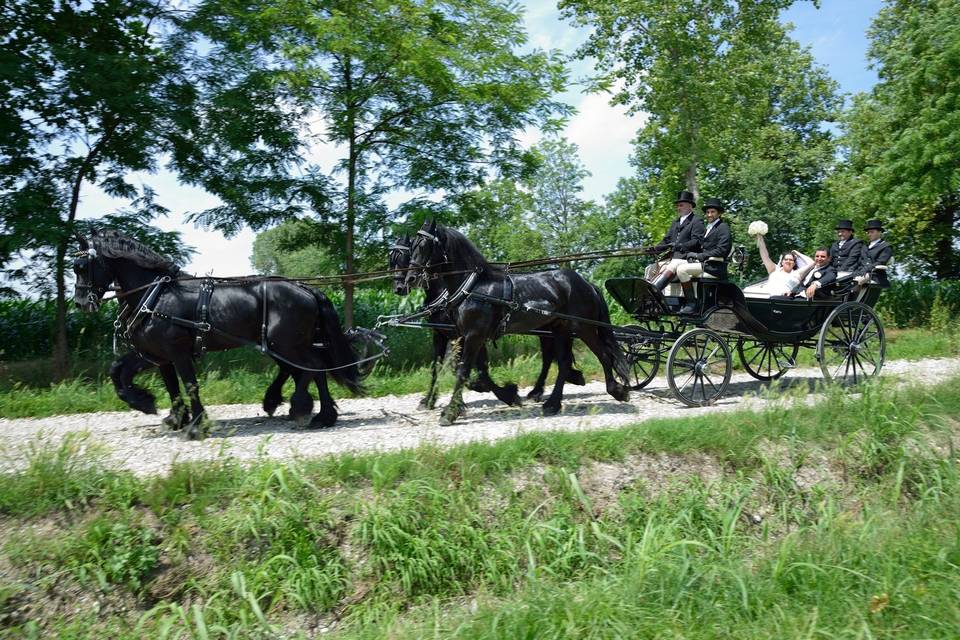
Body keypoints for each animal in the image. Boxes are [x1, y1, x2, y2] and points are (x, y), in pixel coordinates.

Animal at [73, 230, 362, 440]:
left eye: (82, 266)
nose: (80, 303)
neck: (155, 296)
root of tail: (306, 288)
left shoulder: (177, 352)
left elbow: (189, 385)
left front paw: (195, 425)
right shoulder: (156, 354)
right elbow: (129, 374)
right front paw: (158, 410)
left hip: (286, 343)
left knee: (312, 366)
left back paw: (300, 408)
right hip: (285, 344)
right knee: (312, 368)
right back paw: (322, 415)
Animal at [390, 238, 584, 408]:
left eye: (404, 256)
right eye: (392, 259)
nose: (401, 286)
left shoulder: (469, 335)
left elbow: (472, 368)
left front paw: (500, 393)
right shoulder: (441, 334)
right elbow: (440, 367)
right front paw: (429, 401)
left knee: (549, 356)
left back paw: (545, 388)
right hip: (547, 328)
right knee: (550, 356)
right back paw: (545, 388)